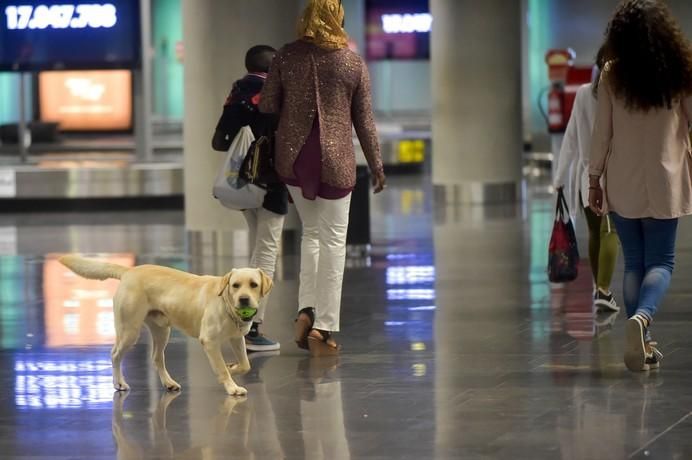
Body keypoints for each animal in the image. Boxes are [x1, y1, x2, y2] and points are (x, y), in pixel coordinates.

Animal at [58, 253, 274, 398]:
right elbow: (221, 368)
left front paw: (232, 367)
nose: (244, 299)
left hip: (162, 330)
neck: (226, 304)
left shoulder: (237, 338)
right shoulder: (210, 341)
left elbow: (245, 365)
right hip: (129, 330)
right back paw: (119, 382)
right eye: (235, 285)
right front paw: (231, 386)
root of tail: (130, 271)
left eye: (253, 284)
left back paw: (168, 383)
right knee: (115, 354)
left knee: (156, 358)